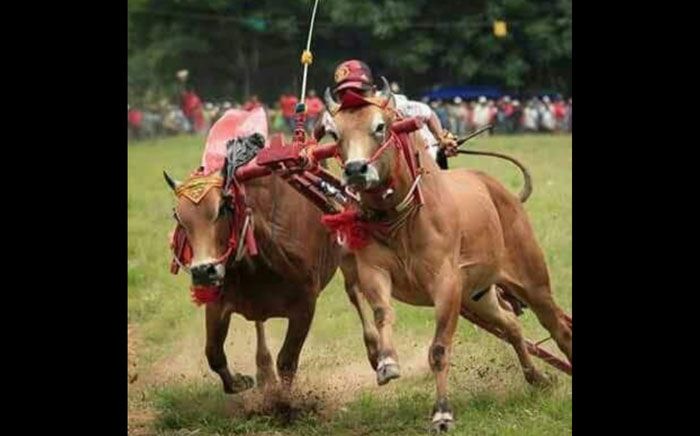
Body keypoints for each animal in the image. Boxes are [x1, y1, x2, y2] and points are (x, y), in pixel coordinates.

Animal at [326, 86, 572, 432]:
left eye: (380, 127)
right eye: (335, 133)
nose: (355, 170)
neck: (402, 219)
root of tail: (505, 195)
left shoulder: (446, 285)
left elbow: (440, 350)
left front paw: (442, 413)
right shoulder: (373, 272)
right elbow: (382, 313)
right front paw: (386, 362)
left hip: (532, 283)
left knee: (559, 327)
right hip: (478, 296)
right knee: (511, 326)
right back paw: (537, 378)